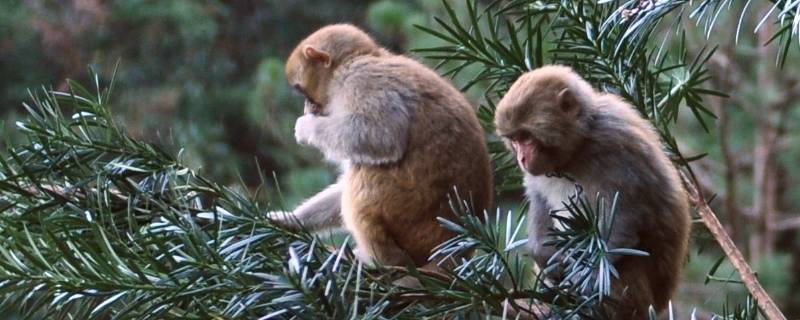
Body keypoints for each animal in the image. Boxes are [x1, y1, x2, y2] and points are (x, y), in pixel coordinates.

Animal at [268, 23, 494, 272]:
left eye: (302, 91)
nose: (306, 108)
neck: (362, 57)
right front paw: (289, 220)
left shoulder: (358, 80)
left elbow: (382, 135)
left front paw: (306, 126)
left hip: (411, 220)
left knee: (366, 171)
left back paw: (381, 260)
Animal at [490, 65, 692, 318]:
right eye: (514, 139)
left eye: (526, 137)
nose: (522, 158)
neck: (578, 148)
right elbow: (539, 199)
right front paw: (544, 254)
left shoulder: (615, 144)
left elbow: (624, 217)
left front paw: (588, 279)